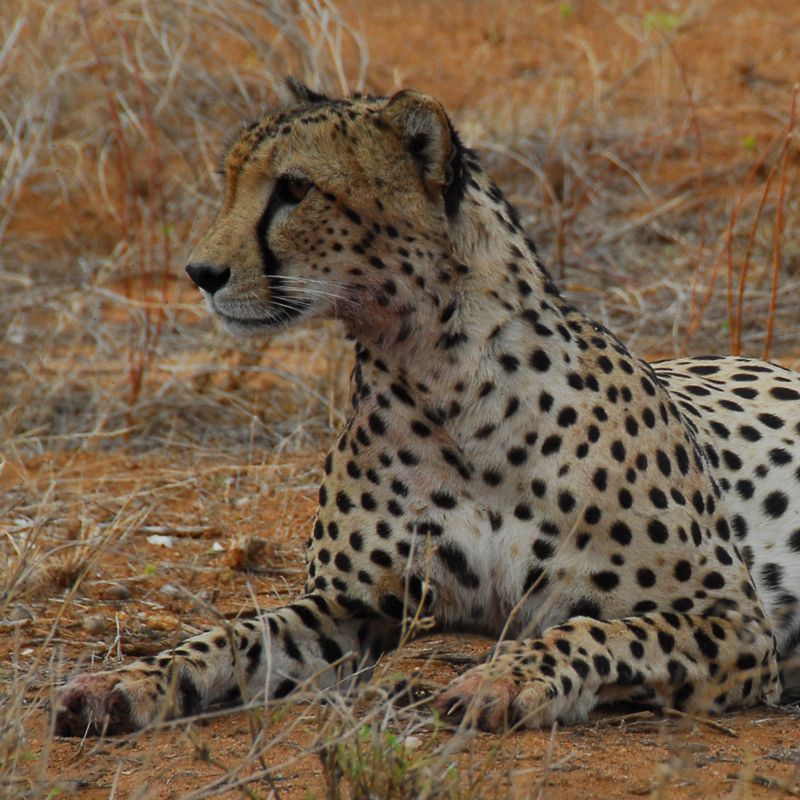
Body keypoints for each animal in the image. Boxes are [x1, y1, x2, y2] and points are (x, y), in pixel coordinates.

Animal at [54, 79, 800, 736]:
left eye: (295, 189)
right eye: (230, 183)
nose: (200, 274)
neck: (444, 377)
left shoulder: (733, 619)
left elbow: (592, 629)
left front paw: (503, 678)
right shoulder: (348, 606)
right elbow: (231, 637)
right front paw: (126, 682)